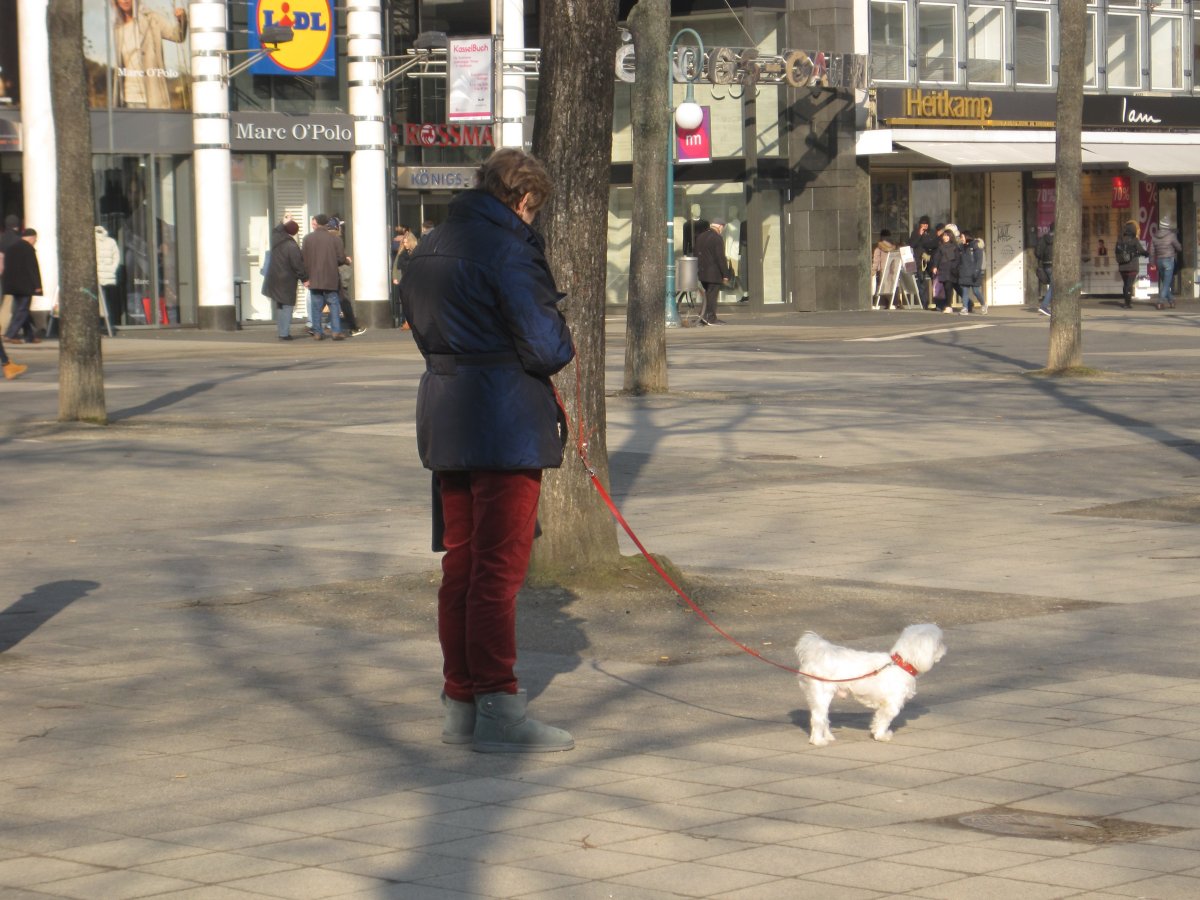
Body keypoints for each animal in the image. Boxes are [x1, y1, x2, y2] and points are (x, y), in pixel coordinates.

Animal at [792, 624, 950, 748]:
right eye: (939, 642)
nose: (946, 647)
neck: (901, 664)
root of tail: (815, 655)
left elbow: (878, 718)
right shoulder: (891, 704)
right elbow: (884, 720)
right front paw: (882, 736)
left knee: (823, 717)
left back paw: (828, 736)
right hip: (822, 693)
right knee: (818, 718)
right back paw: (818, 741)